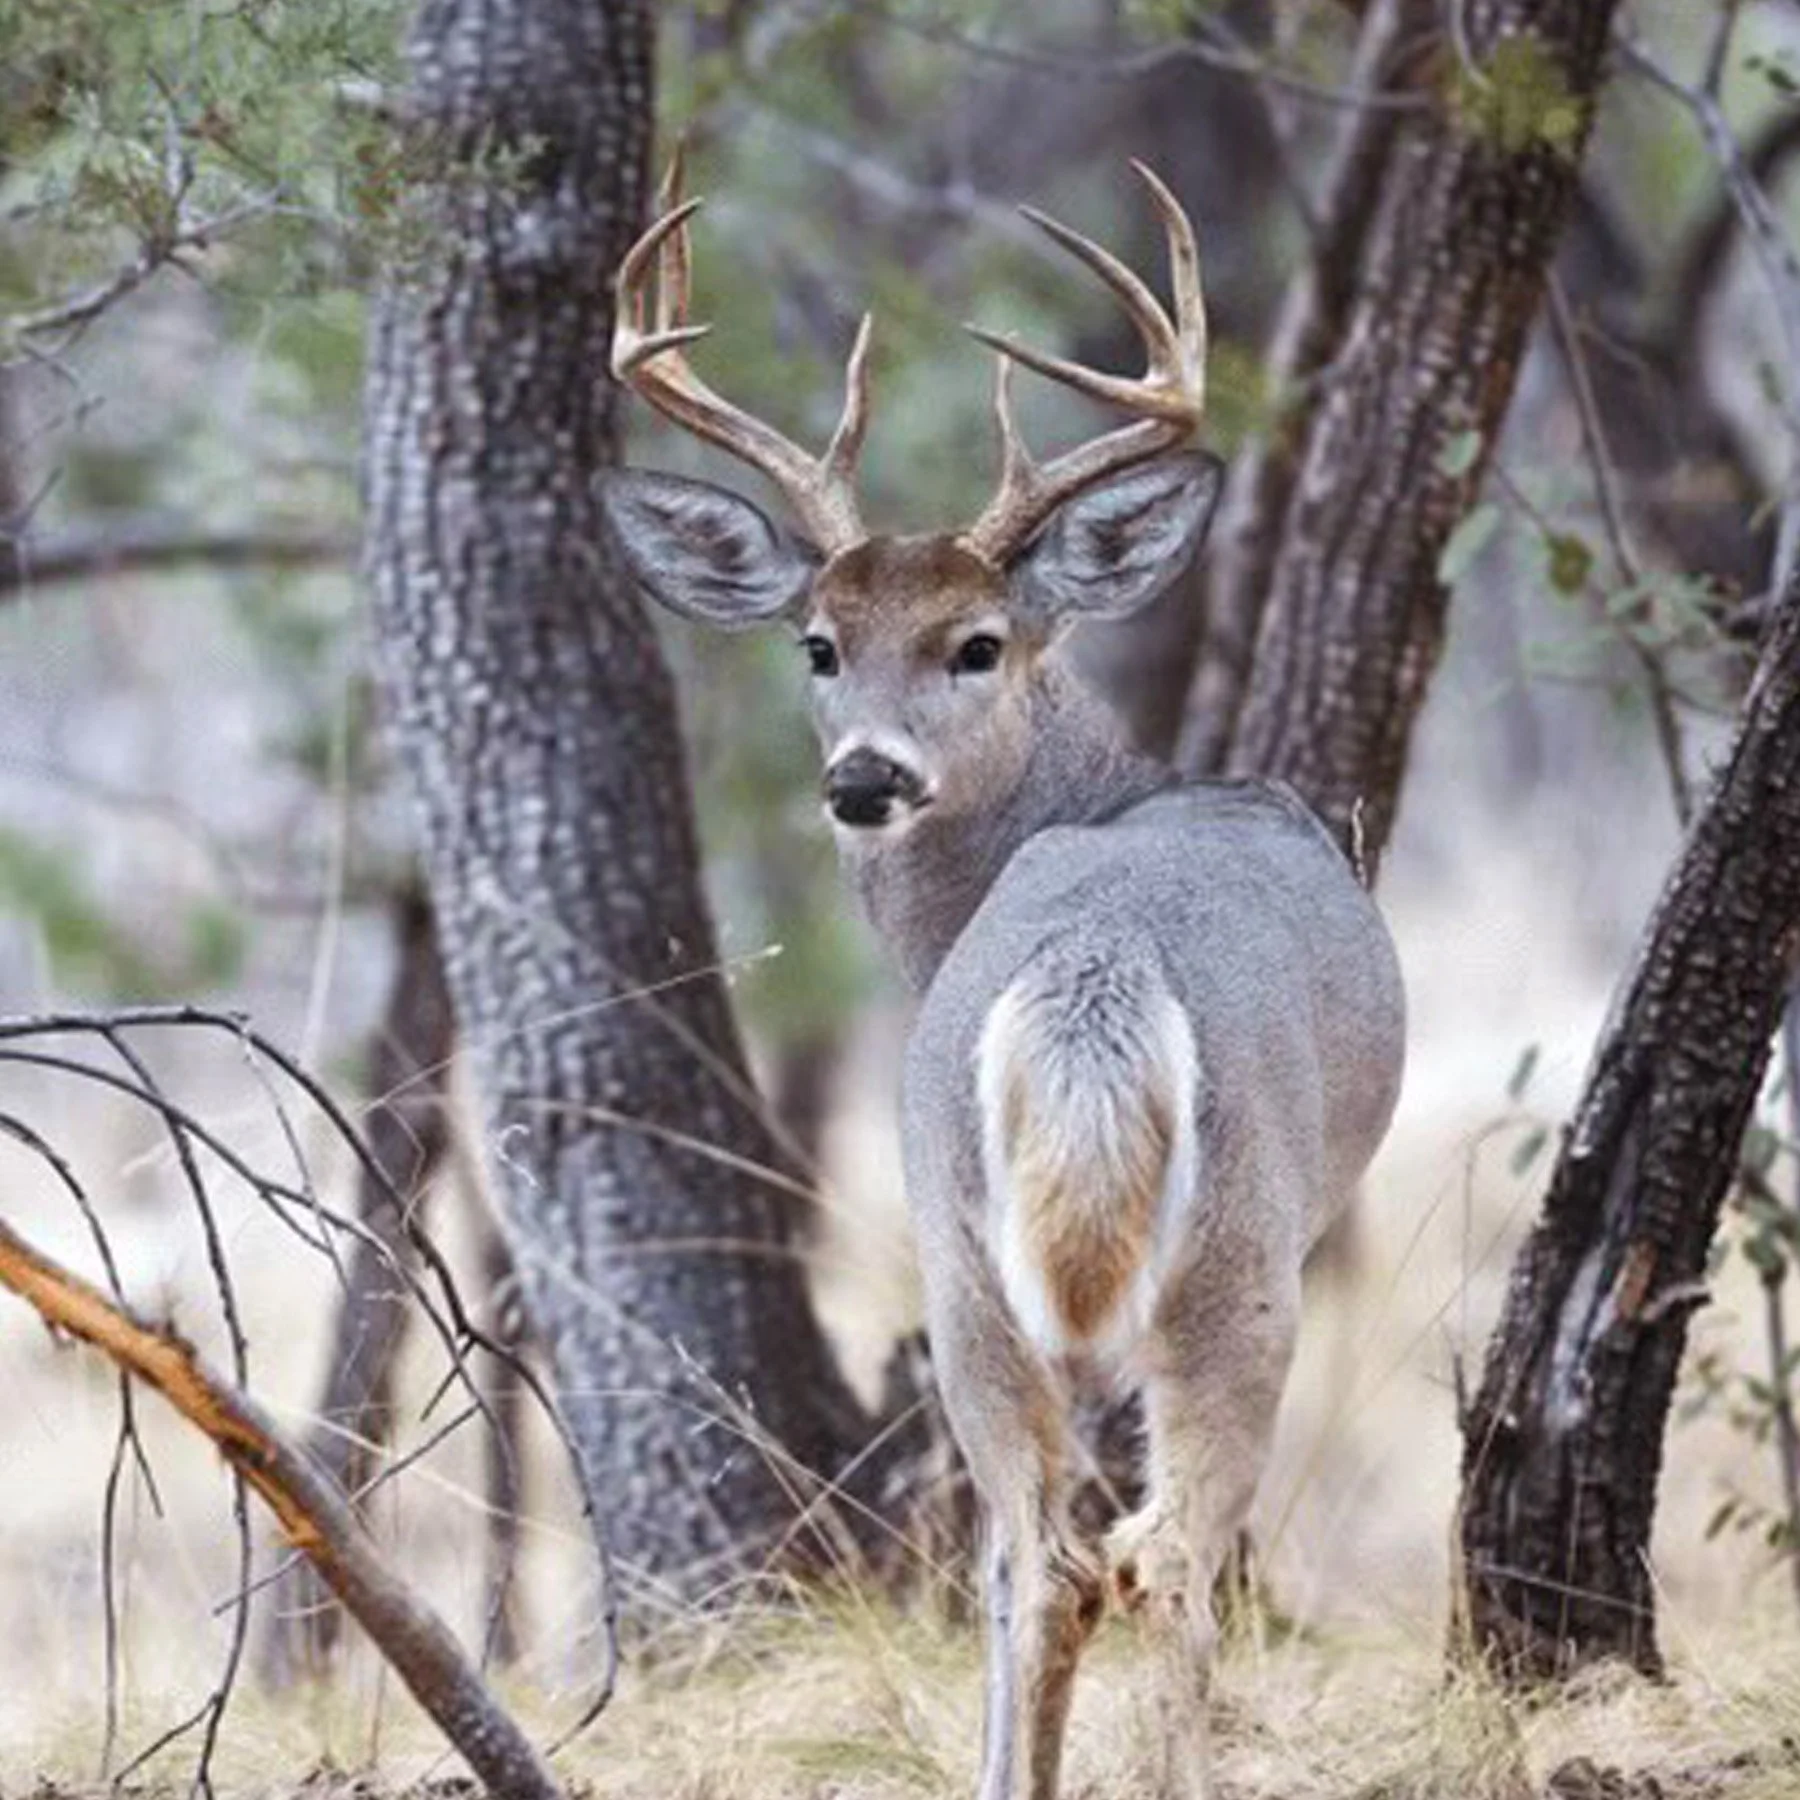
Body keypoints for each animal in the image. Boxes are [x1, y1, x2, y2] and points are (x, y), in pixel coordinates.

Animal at [600, 158, 1406, 1800]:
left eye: (976, 642)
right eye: (819, 643)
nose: (860, 779)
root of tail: (1094, 979)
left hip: (966, 1265)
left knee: (1045, 1562)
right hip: (1237, 1268)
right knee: (1156, 1557)